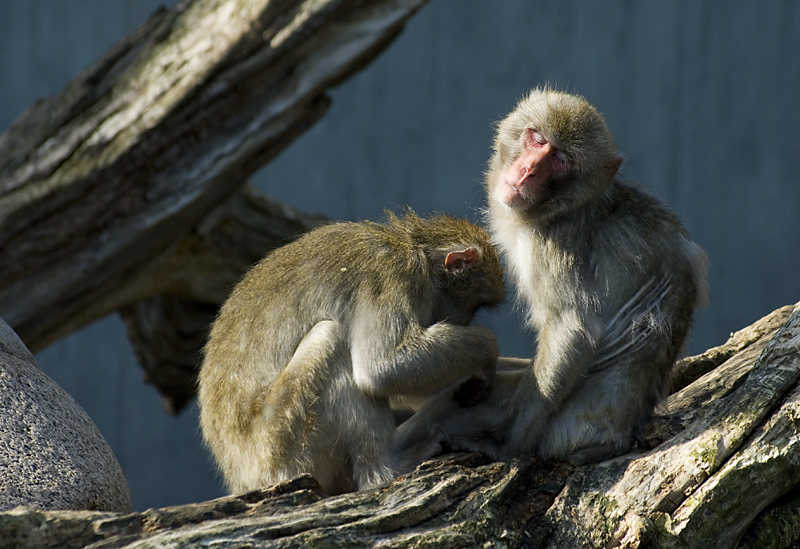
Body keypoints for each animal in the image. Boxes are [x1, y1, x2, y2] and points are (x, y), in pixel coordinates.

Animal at [404, 89, 708, 462]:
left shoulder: (550, 247)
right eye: (537, 139)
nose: (529, 170)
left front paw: (509, 446)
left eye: (561, 159)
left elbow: (573, 331)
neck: (560, 208)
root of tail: (625, 434)